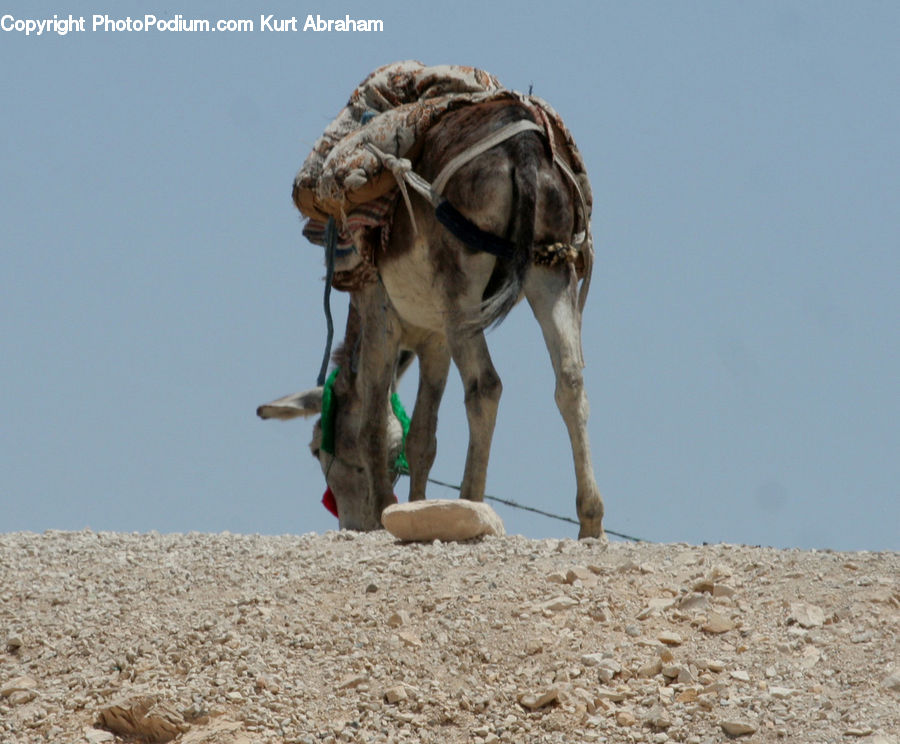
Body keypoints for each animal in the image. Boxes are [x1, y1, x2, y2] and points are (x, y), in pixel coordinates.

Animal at [259, 98, 605, 539]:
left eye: (317, 449)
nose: (353, 525)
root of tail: (523, 146)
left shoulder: (378, 315)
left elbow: (373, 424)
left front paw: (387, 511)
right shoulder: (435, 339)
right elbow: (423, 436)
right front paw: (415, 507)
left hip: (462, 286)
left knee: (485, 385)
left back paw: (472, 501)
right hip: (550, 272)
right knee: (571, 381)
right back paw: (591, 522)